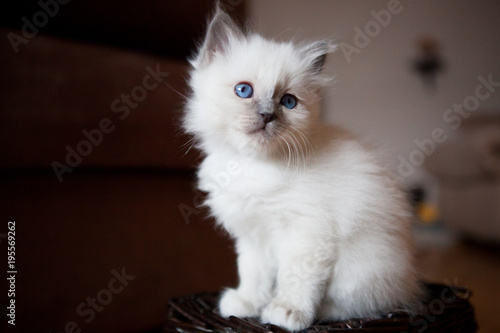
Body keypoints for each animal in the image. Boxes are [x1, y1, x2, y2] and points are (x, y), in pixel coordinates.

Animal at [184, 4, 422, 330]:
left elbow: (296, 278)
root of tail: (410, 283)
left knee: (364, 305)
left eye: (288, 102)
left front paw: (286, 312)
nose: (267, 115)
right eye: (244, 91)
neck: (253, 165)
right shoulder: (253, 236)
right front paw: (247, 304)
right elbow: (252, 274)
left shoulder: (307, 232)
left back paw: (323, 311)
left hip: (360, 269)